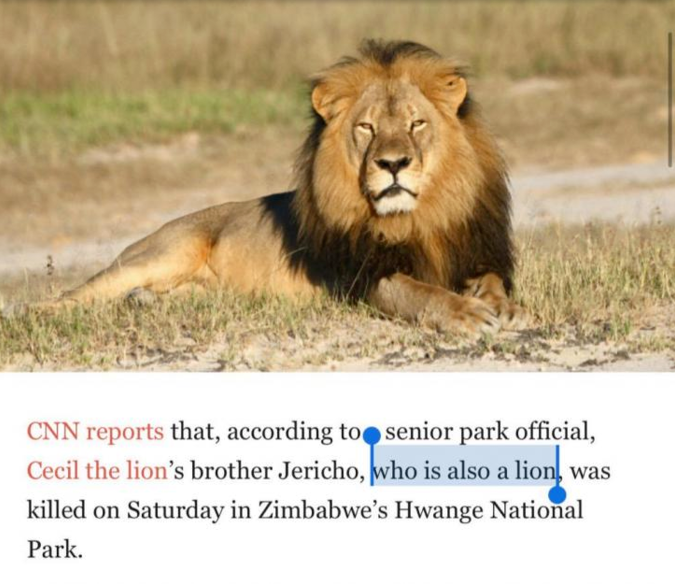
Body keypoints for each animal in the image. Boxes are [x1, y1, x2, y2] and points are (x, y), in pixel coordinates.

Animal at [34, 40, 527, 336]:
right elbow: (418, 292)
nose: (392, 164)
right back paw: (38, 316)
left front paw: (501, 306)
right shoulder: (360, 277)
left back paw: (143, 303)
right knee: (75, 295)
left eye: (416, 123)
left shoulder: (474, 250)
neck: (417, 218)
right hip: (160, 253)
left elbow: (492, 280)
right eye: (366, 128)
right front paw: (466, 314)